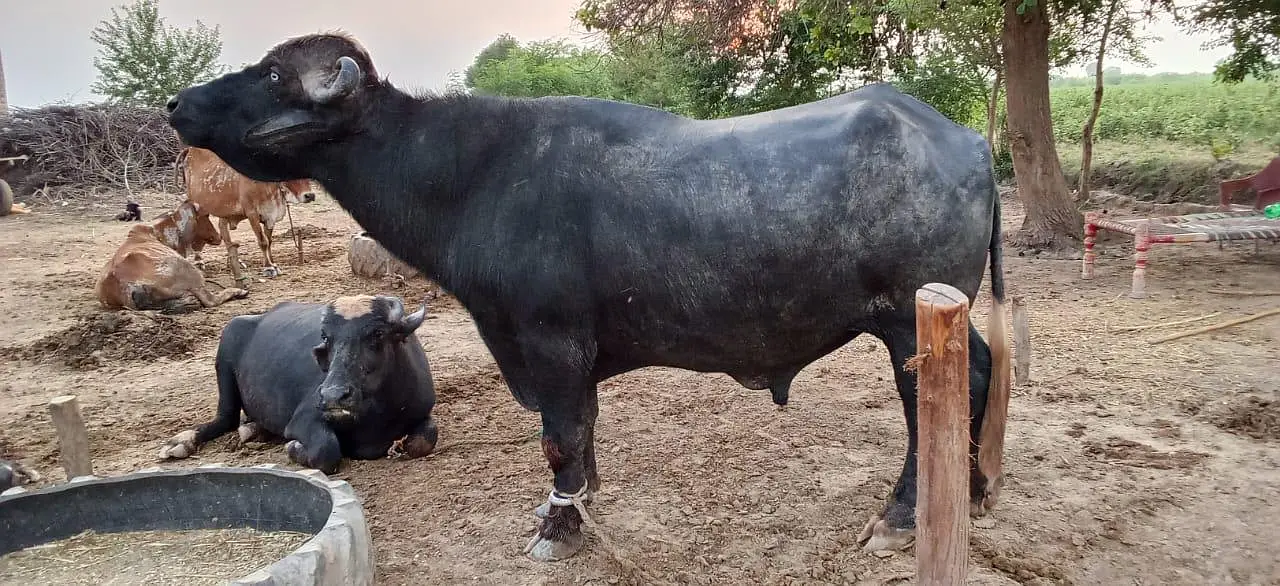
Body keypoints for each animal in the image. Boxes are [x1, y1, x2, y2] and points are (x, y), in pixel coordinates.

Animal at [166, 32, 1011, 561]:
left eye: (273, 77)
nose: (178, 104)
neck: (473, 175)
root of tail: (966, 138)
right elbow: (584, 431)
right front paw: (585, 507)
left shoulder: (549, 343)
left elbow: (560, 438)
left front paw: (558, 527)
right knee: (981, 375)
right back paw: (971, 489)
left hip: (906, 323)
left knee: (939, 398)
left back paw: (904, 515)